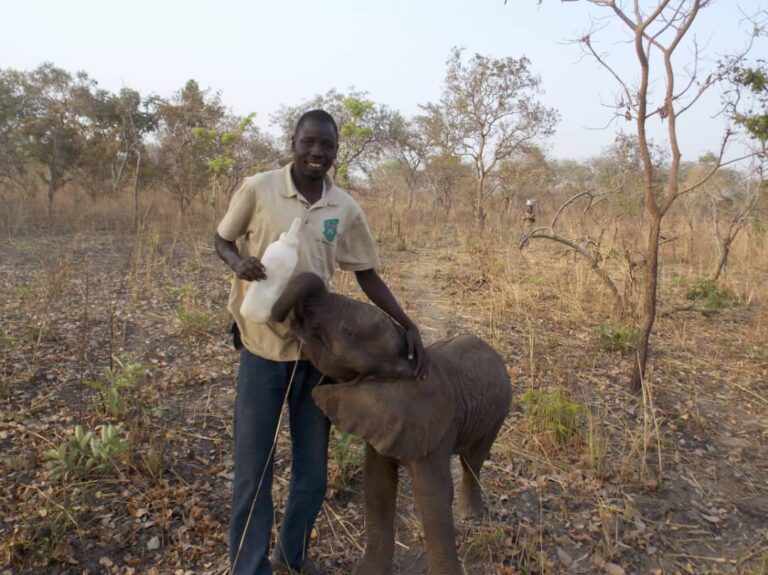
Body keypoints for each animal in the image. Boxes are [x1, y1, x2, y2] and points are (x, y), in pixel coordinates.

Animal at [270, 272, 510, 572]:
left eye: (348, 331)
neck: (406, 366)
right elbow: (377, 486)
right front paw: (367, 572)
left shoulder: (430, 428)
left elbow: (434, 497)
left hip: (499, 412)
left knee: (473, 460)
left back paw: (471, 516)